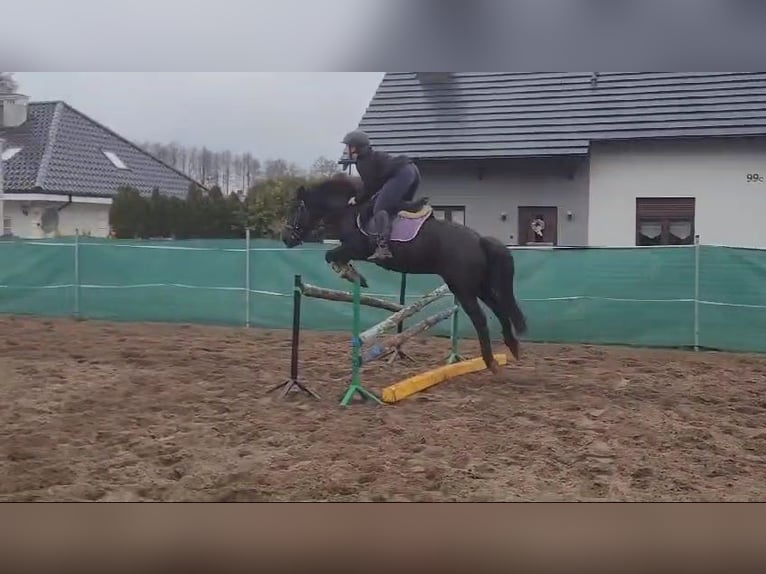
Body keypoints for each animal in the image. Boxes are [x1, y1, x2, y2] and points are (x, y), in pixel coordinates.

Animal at [281, 173, 527, 373]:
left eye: (296, 209)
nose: (286, 238)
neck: (348, 211)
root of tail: (479, 240)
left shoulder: (357, 248)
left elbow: (330, 256)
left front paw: (352, 275)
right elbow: (334, 257)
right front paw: (354, 275)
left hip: (463, 288)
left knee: (481, 318)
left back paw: (491, 362)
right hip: (479, 286)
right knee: (500, 308)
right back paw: (512, 346)